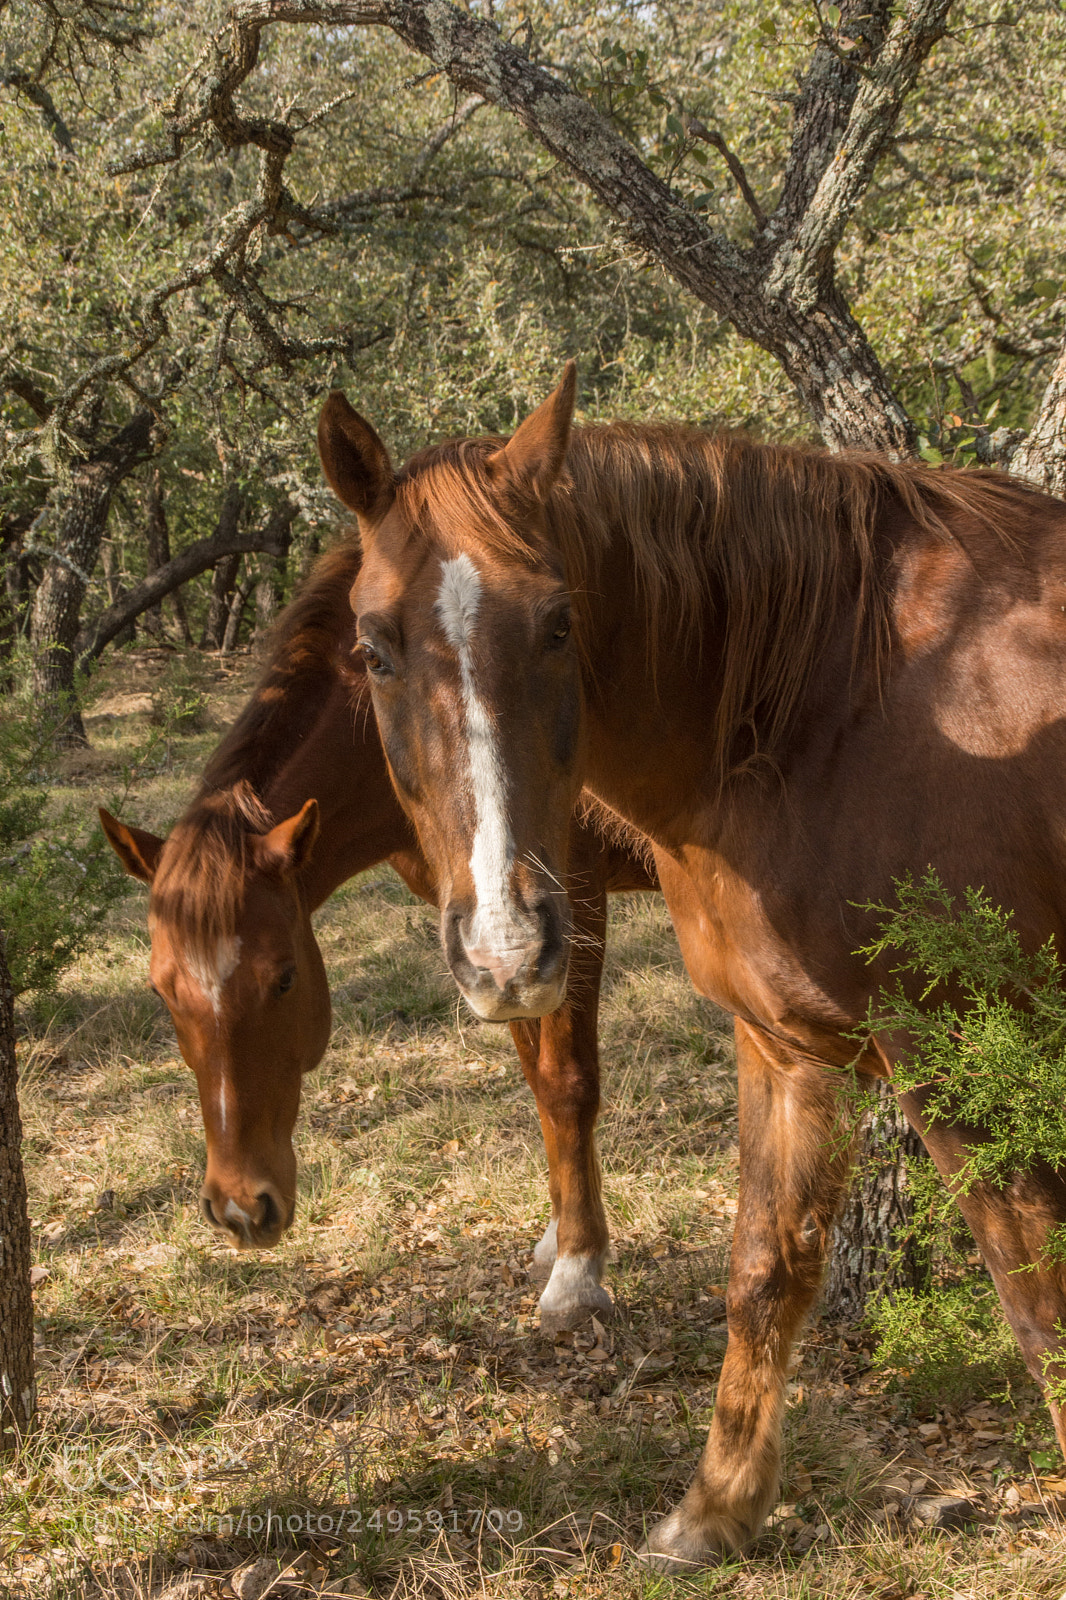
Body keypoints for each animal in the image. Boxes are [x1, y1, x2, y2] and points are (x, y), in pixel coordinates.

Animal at [100, 538, 656, 1335]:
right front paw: (559, 1233)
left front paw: (578, 1271)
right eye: (161, 991)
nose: (240, 1209)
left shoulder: (560, 905)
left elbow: (566, 1080)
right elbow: (535, 1071)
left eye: (284, 979)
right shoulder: (492, 946)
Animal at [320, 366, 1066, 1568]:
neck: (827, 704)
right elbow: (766, 1273)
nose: (507, 947)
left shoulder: (957, 1048)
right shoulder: (788, 1044)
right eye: (374, 647)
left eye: (560, 622)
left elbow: (1039, 1302)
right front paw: (716, 1508)